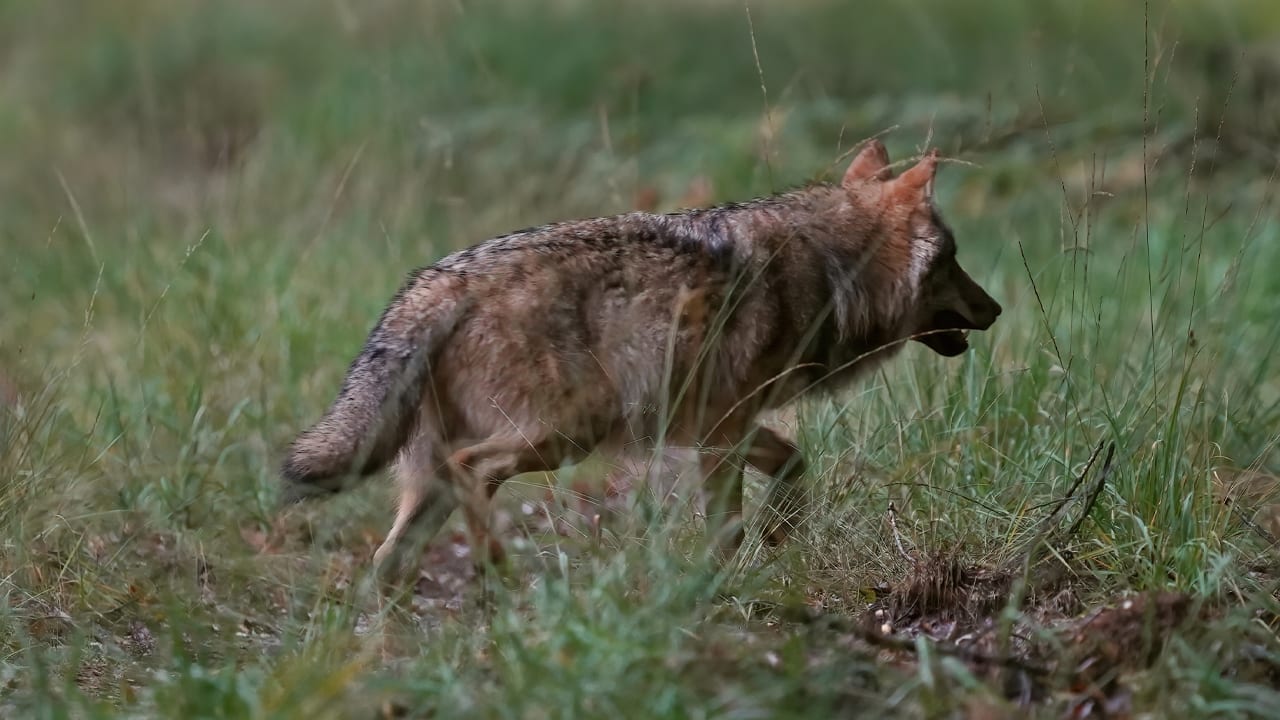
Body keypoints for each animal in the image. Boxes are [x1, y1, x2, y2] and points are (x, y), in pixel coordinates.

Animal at [280, 140, 998, 584]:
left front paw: (777, 535)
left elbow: (794, 467)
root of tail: (438, 281)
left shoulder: (720, 427)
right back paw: (500, 582)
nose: (995, 309)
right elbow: (727, 528)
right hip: (566, 435)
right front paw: (715, 584)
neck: (831, 269)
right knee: (472, 475)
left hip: (441, 475)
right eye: (955, 258)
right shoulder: (720, 434)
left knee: (385, 564)